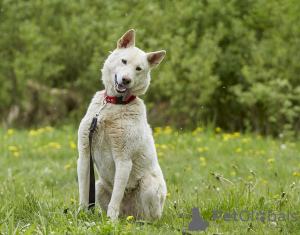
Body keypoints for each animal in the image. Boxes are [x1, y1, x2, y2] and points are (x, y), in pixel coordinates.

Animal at [77, 29, 166, 222]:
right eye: (124, 61)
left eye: (139, 69)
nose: (126, 79)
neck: (113, 104)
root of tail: (128, 214)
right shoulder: (84, 155)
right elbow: (83, 192)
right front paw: (79, 214)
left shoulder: (123, 160)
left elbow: (116, 197)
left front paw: (111, 222)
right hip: (99, 185)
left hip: (148, 184)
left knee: (149, 216)